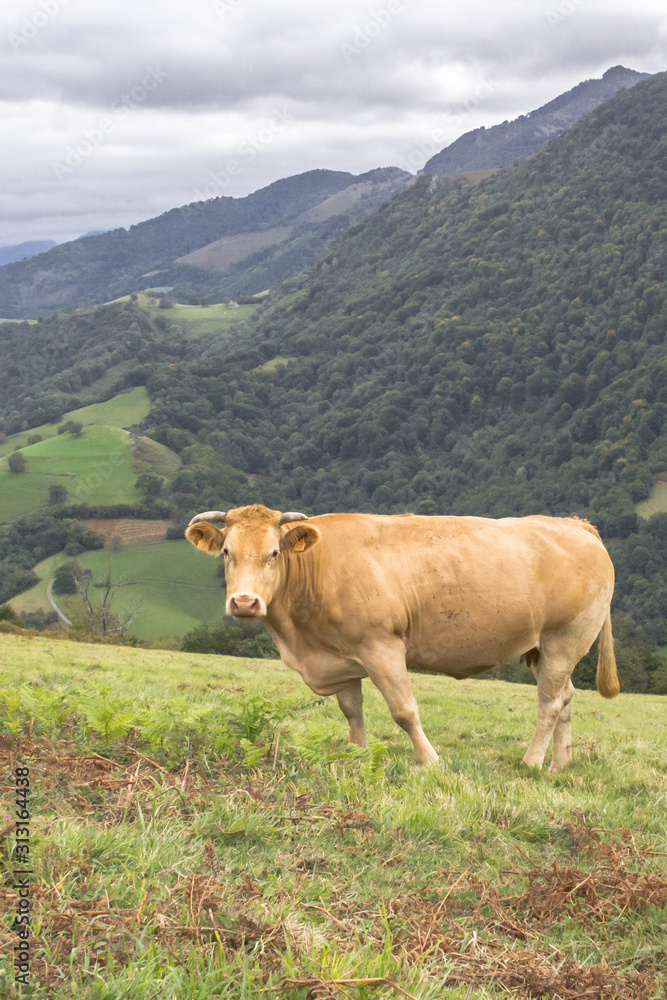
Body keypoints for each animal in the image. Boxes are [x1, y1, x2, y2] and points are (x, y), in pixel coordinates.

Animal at [184, 508, 620, 772]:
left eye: (274, 552)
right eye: (226, 552)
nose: (244, 601)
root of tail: (575, 523)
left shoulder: (382, 646)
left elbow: (404, 711)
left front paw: (430, 761)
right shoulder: (341, 657)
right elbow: (352, 711)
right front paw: (358, 753)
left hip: (565, 638)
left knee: (550, 703)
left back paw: (530, 761)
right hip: (542, 648)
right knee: (566, 698)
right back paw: (559, 764)